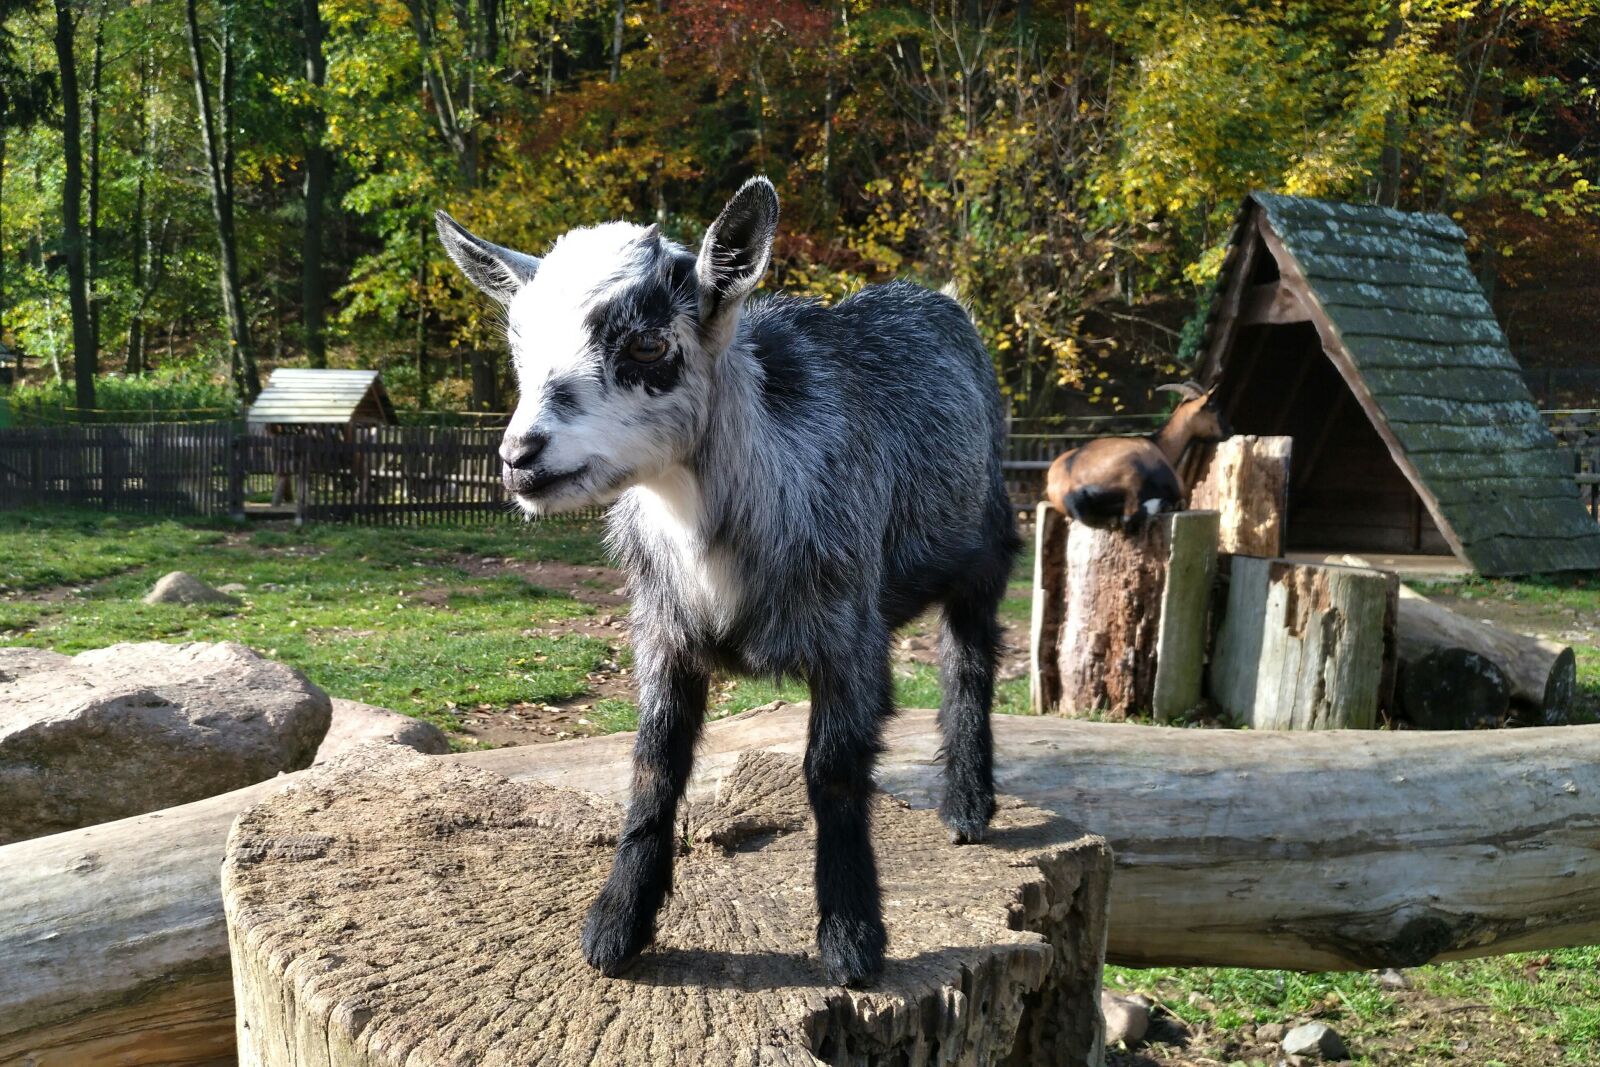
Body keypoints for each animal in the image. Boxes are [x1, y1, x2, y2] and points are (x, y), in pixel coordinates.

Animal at [435, 178, 1020, 987]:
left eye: (648, 344)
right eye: (519, 344)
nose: (522, 457)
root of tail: (935, 297)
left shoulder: (849, 633)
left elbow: (834, 771)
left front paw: (851, 938)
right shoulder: (662, 631)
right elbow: (655, 761)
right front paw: (617, 924)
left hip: (984, 543)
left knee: (969, 658)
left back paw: (967, 804)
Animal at [1044, 382, 1230, 531]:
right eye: (1214, 408)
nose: (1230, 429)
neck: (1159, 445)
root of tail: (1071, 485)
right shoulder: (1177, 487)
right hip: (1132, 476)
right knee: (1129, 517)